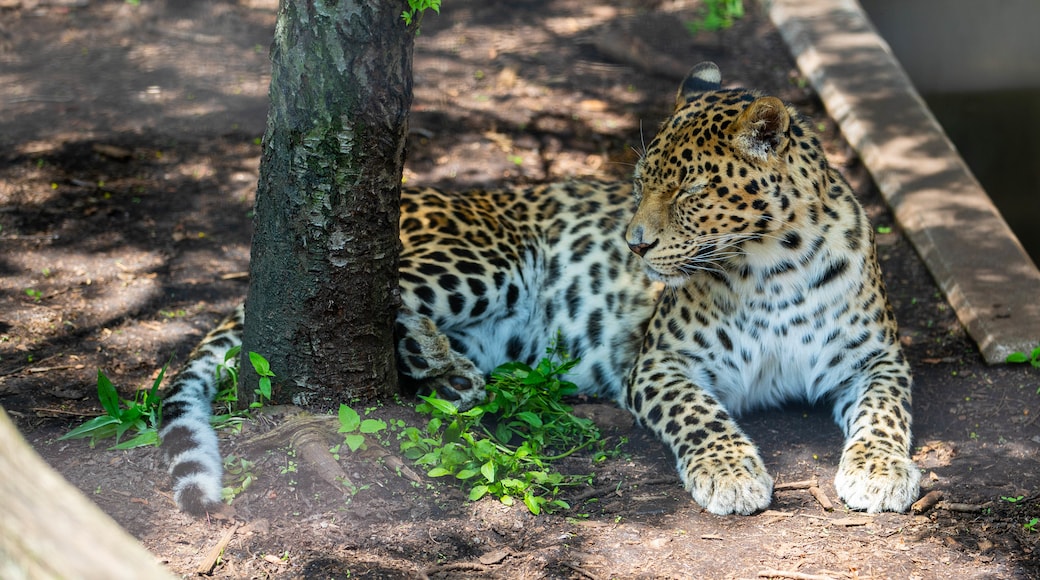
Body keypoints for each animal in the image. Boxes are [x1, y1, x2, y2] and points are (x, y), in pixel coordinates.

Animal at [160, 62, 919, 517]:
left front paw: (881, 472)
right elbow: (701, 416)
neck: (771, 264)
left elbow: (886, 413)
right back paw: (436, 356)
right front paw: (731, 474)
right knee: (363, 296)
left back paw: (450, 374)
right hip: (485, 258)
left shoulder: (876, 358)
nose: (633, 245)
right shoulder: (661, 362)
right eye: (642, 181)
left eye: (691, 192)